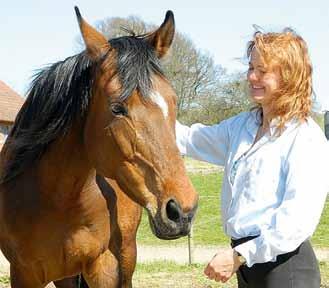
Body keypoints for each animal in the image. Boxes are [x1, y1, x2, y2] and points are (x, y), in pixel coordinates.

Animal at [0, 7, 196, 288]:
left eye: (173, 101)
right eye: (117, 108)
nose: (181, 211)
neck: (56, 198)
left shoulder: (103, 267)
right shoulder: (24, 272)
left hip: (125, 259)